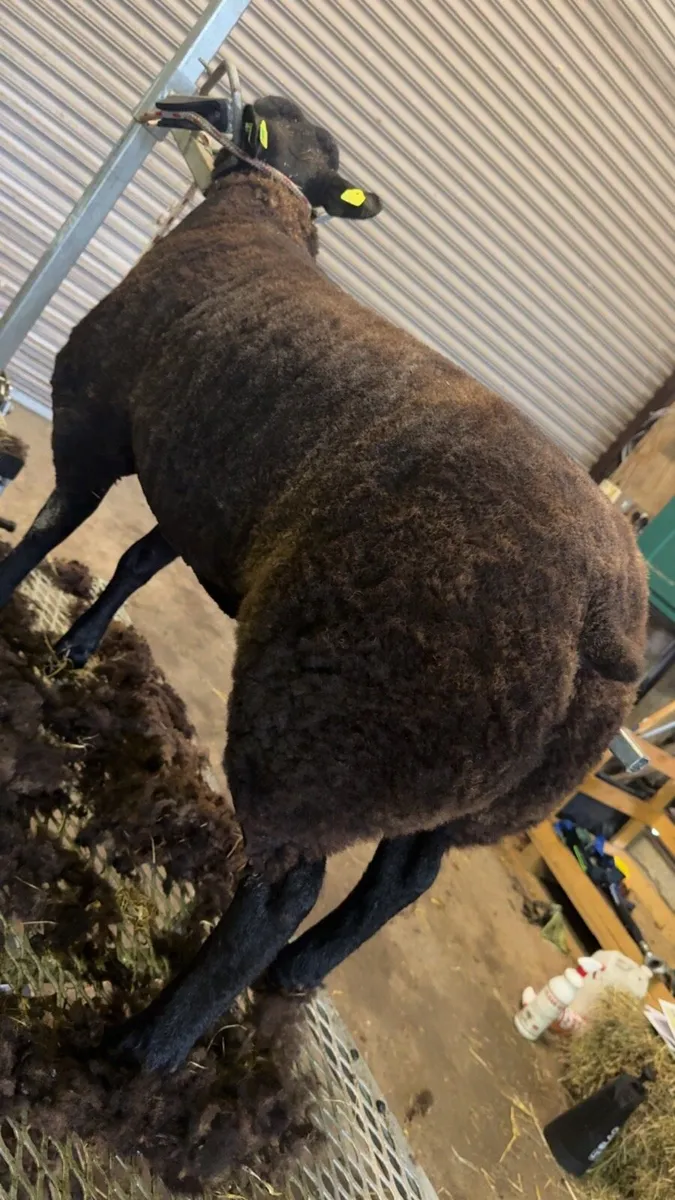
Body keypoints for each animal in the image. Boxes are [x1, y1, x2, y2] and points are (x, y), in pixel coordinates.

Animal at [0, 94, 647, 1074]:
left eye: (252, 121)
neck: (257, 211)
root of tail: (601, 625)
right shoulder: (206, 496)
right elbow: (137, 559)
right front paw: (79, 642)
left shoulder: (95, 419)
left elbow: (51, 525)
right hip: (462, 780)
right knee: (403, 877)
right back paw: (299, 971)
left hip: (335, 729)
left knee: (285, 888)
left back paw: (148, 1044)